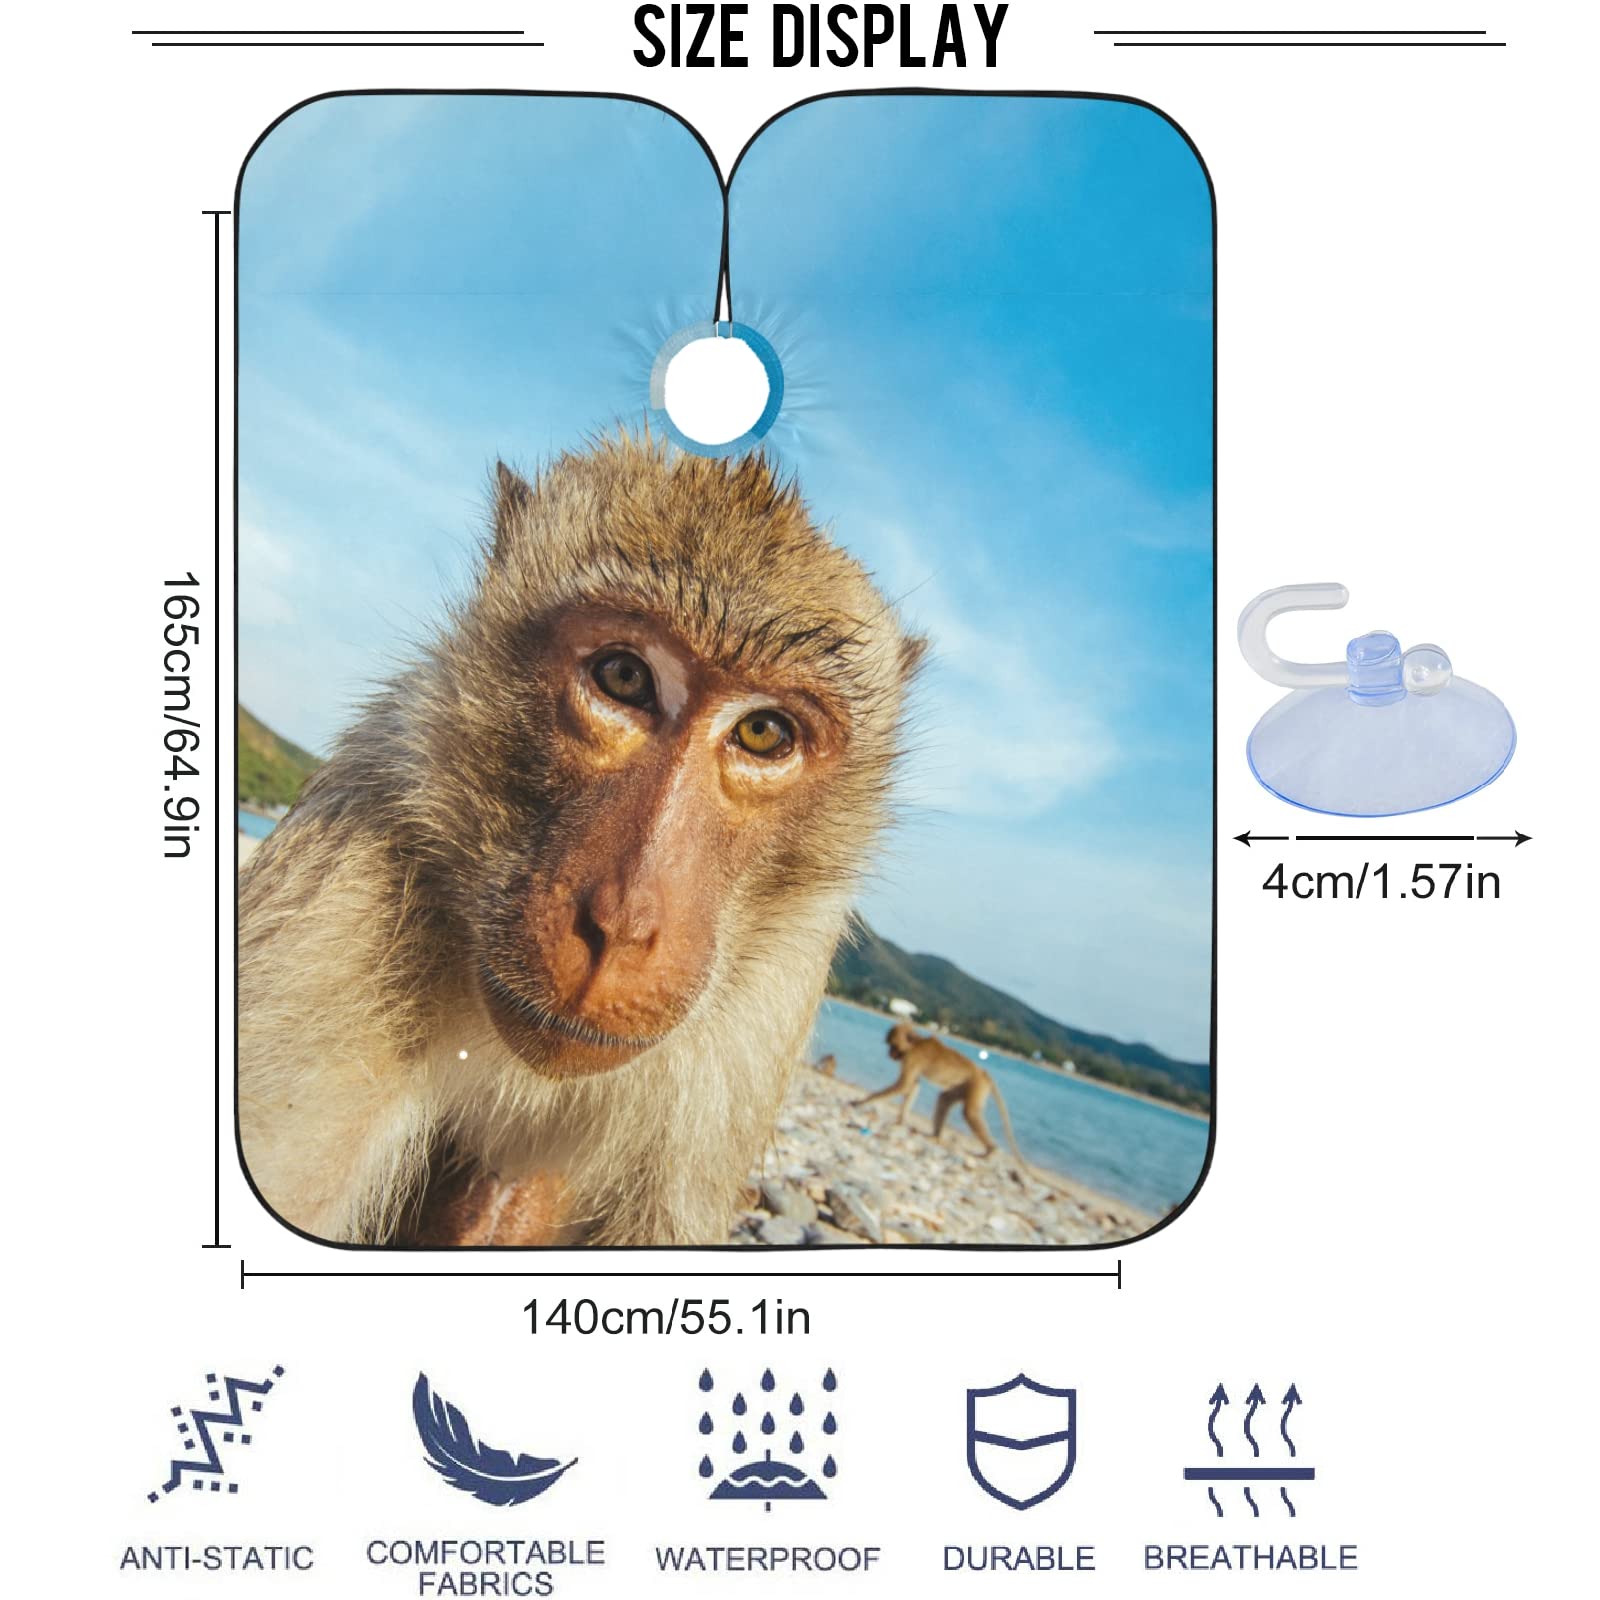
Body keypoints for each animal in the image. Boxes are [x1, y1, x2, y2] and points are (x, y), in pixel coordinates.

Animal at [854, 1023, 1046, 1182]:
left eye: (893, 1045)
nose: (890, 1053)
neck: (916, 1043)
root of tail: (983, 1072)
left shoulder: (913, 1058)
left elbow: (905, 1086)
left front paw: (862, 1102)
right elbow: (913, 1087)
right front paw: (900, 1121)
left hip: (976, 1085)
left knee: (970, 1113)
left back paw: (991, 1150)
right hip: (963, 1086)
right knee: (945, 1098)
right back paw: (935, 1136)